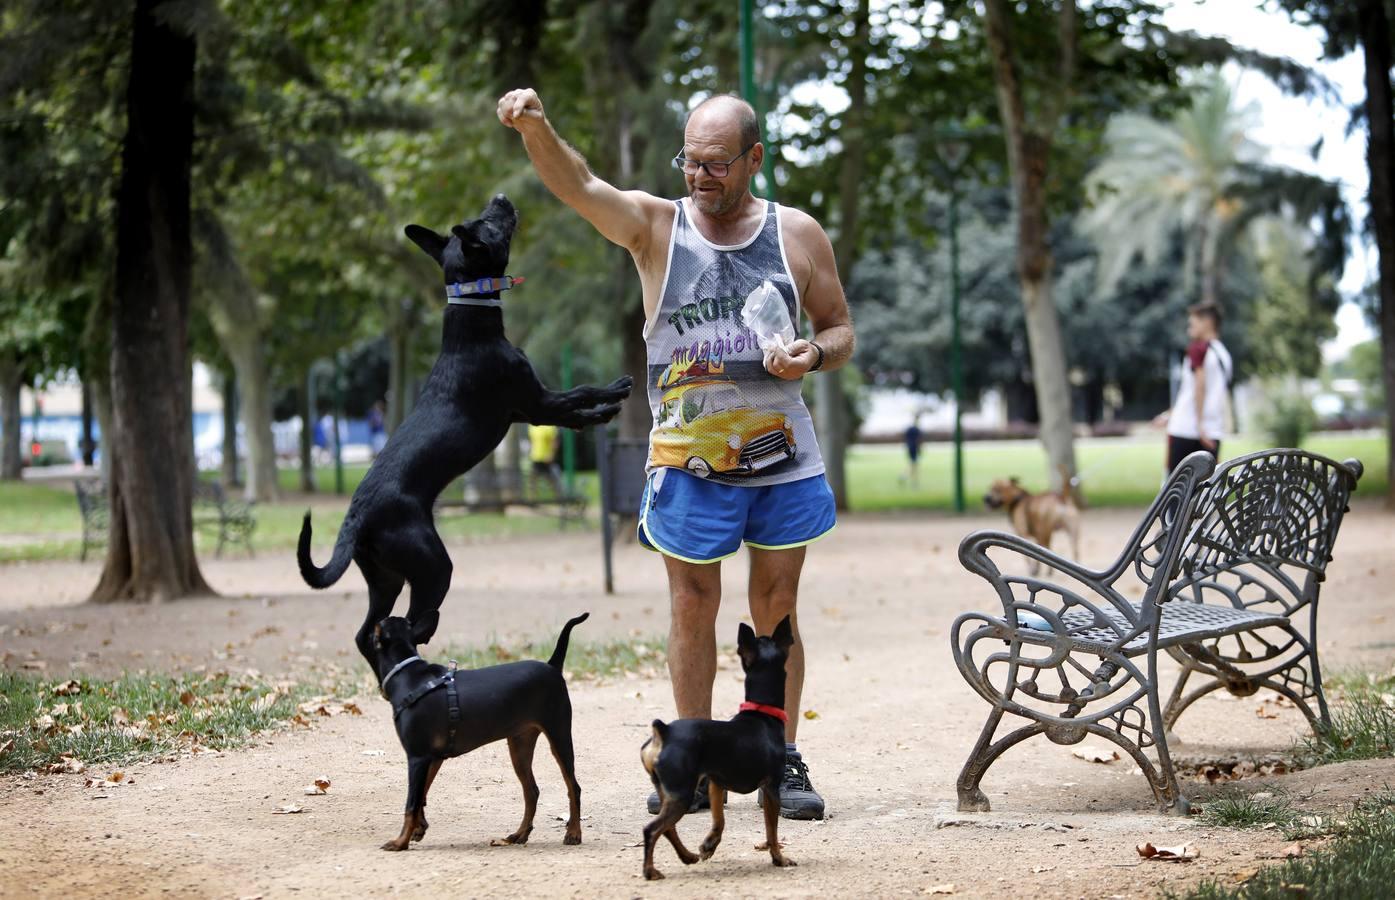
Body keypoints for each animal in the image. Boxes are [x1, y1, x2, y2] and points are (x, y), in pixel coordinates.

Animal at [302, 198, 638, 675]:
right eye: (489, 224)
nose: (501, 198)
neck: (471, 315)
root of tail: (356, 518)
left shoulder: (529, 413)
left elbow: (574, 415)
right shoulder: (538, 401)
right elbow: (581, 393)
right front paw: (612, 396)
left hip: (386, 578)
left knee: (367, 633)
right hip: (431, 566)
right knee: (408, 622)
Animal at [371, 611, 588, 848]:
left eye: (377, 627)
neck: (407, 676)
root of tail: (552, 666)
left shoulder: (417, 757)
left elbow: (411, 804)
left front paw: (400, 842)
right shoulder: (432, 758)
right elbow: (421, 797)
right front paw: (419, 829)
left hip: (559, 735)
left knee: (573, 787)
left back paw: (573, 833)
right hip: (520, 745)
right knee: (532, 791)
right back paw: (519, 834)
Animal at [638, 613, 797, 881]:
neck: (761, 713)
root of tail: (664, 731)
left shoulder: (715, 782)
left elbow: (719, 819)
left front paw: (709, 845)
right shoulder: (771, 788)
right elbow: (771, 831)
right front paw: (779, 858)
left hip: (668, 791)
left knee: (668, 828)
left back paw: (687, 856)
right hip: (681, 793)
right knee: (652, 829)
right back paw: (650, 871)